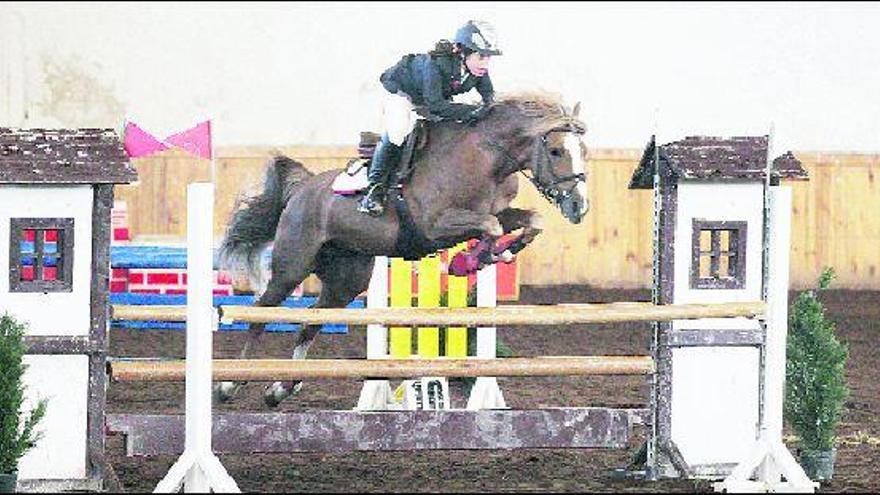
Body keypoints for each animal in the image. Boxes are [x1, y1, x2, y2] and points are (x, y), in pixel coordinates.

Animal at [215, 92, 592, 406]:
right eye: (556, 151)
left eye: (584, 152)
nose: (579, 207)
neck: (486, 159)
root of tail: (304, 187)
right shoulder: (435, 225)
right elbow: (491, 226)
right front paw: (469, 260)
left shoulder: (494, 212)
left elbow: (527, 221)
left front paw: (497, 253)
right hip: (292, 266)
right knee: (260, 313)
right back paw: (230, 385)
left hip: (346, 278)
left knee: (312, 320)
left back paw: (281, 387)